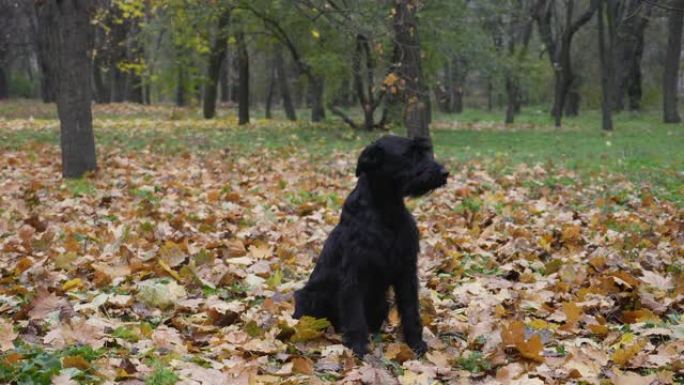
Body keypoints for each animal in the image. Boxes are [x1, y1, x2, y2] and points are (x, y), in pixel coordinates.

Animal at [292, 134, 448, 356]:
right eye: (409, 154)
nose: (444, 173)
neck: (387, 211)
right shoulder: (354, 275)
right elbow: (355, 314)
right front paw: (358, 347)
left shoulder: (406, 271)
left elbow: (411, 310)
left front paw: (415, 343)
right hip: (308, 298)